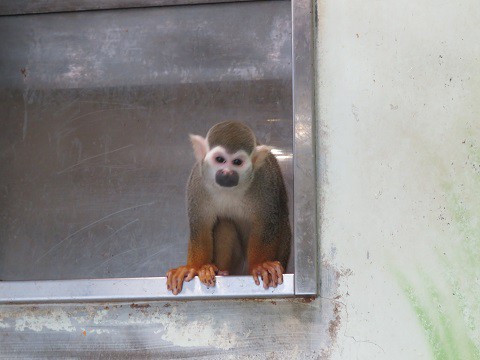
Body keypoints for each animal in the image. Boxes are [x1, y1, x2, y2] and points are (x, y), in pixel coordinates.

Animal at [167, 121, 290, 296]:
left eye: (237, 162)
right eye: (220, 159)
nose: (227, 173)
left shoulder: (264, 180)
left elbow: (267, 223)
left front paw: (260, 265)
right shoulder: (197, 181)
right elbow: (201, 227)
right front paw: (193, 267)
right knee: (225, 224)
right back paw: (221, 271)